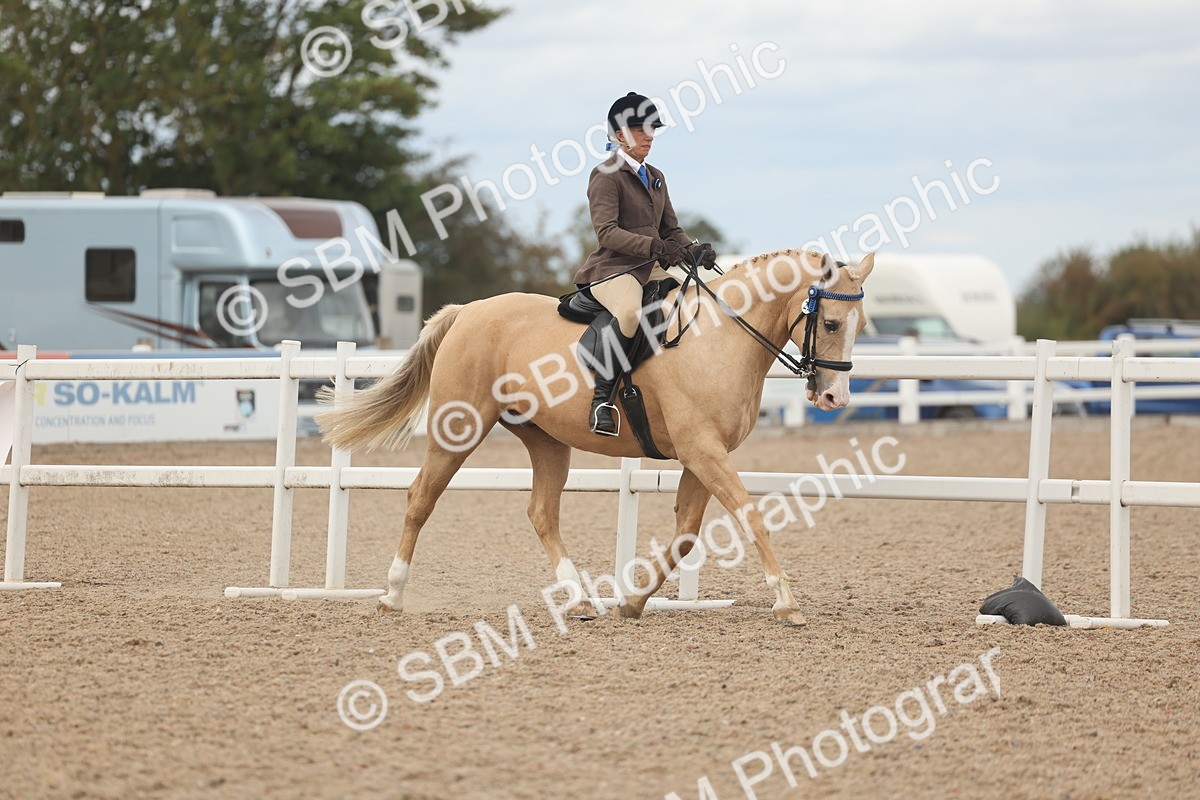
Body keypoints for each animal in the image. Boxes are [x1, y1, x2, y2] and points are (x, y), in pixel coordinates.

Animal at [316, 249, 874, 625]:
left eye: (861, 324)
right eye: (830, 322)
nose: (834, 398)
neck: (719, 336)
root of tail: (468, 311)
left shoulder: (701, 455)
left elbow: (687, 533)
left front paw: (633, 601)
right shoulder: (703, 450)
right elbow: (750, 514)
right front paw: (786, 601)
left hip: (545, 440)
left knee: (542, 513)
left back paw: (581, 598)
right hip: (458, 428)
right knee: (420, 498)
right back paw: (392, 594)